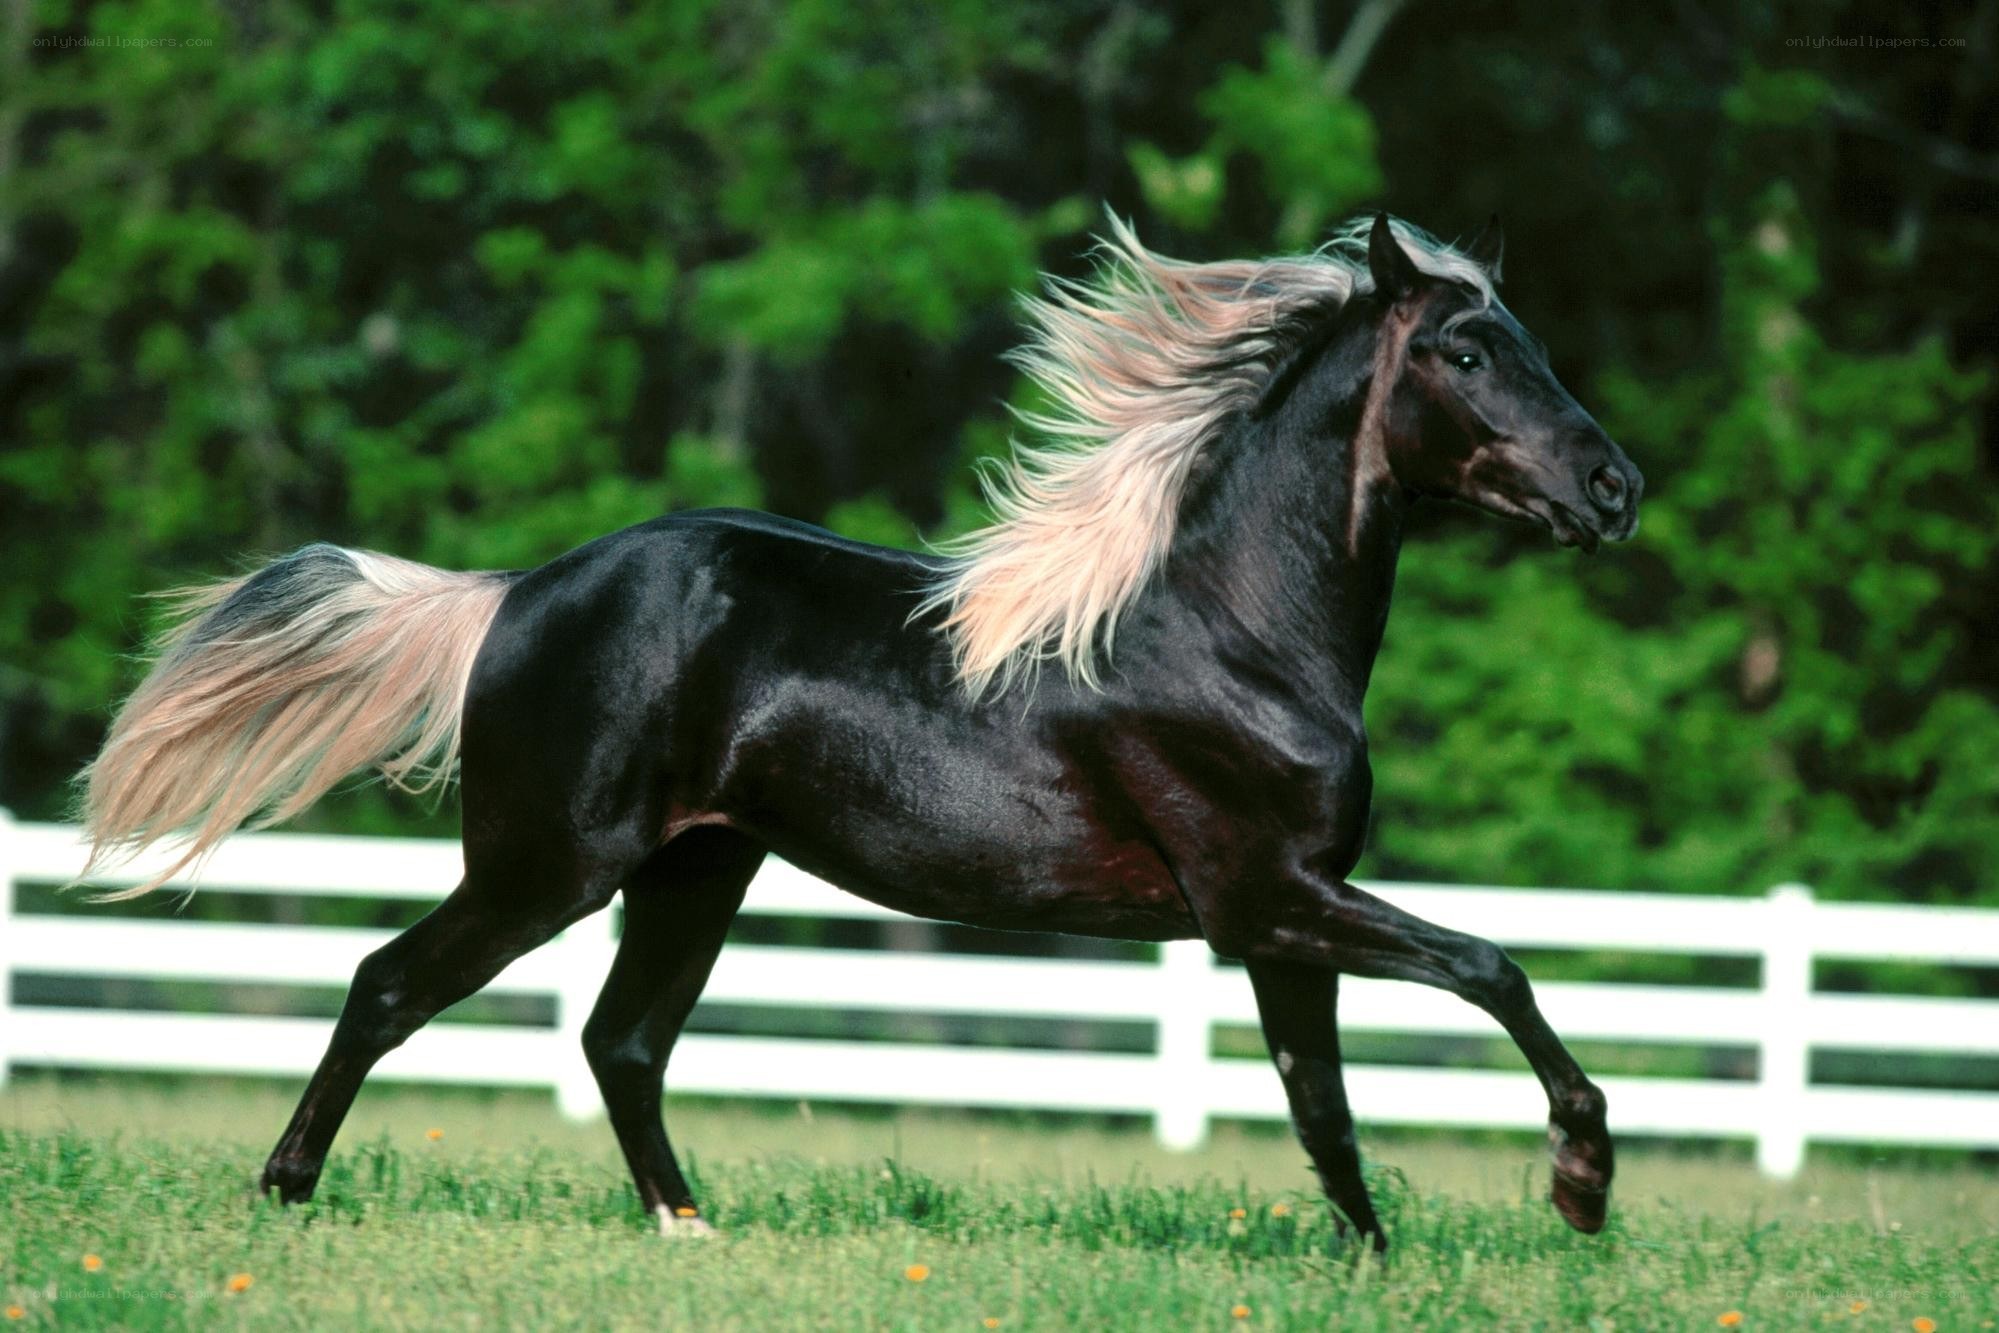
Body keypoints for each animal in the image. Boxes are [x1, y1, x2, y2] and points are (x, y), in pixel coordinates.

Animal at [76, 212, 1642, 1252]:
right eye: (1465, 349)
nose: (1614, 488)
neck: (1232, 630)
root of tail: (515, 593)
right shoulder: (1265, 894)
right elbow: (1490, 968)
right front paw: (1579, 1186)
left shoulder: (1280, 913)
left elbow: (1321, 1104)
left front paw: (1371, 1261)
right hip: (548, 865)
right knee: (390, 984)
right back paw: (284, 1194)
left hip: (694, 868)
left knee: (620, 1041)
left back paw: (689, 1228)